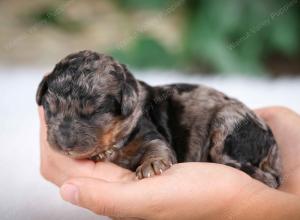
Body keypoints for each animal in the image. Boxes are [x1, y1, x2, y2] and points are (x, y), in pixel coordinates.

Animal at [35, 49, 282, 187]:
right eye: (50, 108)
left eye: (95, 112)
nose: (65, 145)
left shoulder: (149, 133)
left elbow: (158, 146)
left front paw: (152, 165)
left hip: (228, 128)